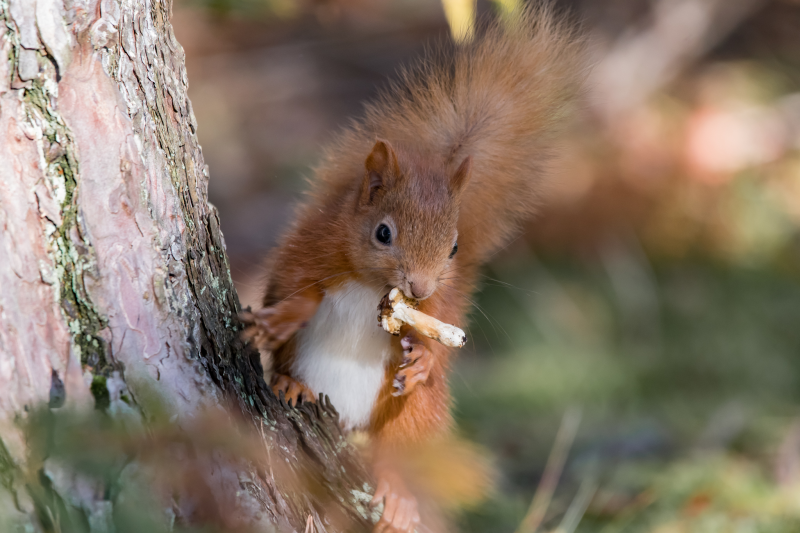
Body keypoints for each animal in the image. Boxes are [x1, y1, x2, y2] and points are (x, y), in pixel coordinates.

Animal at [241, 5, 584, 532]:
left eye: (455, 247)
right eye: (383, 233)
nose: (419, 288)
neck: (373, 287)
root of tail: (351, 422)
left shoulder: (445, 298)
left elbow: (445, 330)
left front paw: (424, 355)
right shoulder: (310, 249)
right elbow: (291, 290)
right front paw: (277, 319)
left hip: (413, 413)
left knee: (398, 449)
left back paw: (400, 495)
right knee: (291, 369)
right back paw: (288, 382)